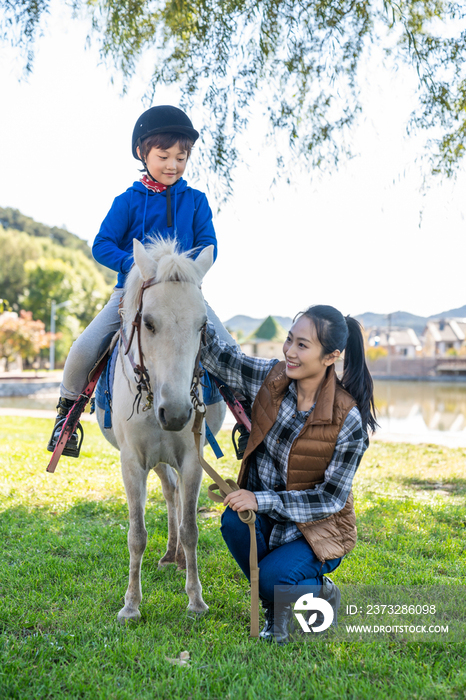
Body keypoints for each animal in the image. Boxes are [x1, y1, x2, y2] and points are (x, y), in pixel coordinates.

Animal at [96, 239, 226, 624]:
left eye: (203, 325)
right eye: (149, 322)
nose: (178, 413)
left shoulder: (193, 461)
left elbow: (191, 529)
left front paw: (195, 599)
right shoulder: (133, 462)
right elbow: (136, 535)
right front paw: (131, 604)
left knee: (177, 497)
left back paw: (178, 557)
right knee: (170, 493)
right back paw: (170, 555)